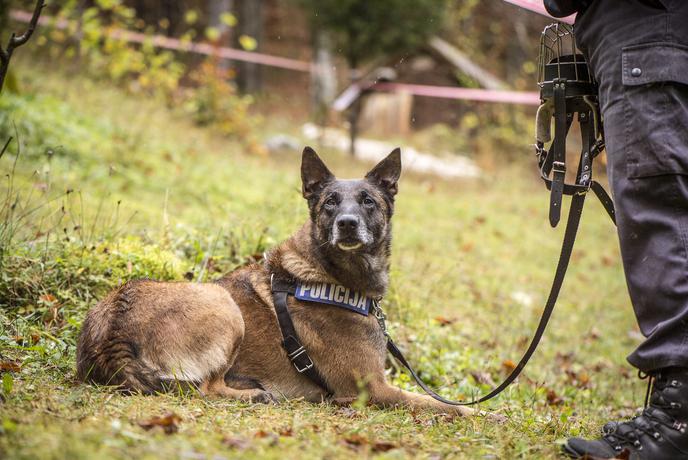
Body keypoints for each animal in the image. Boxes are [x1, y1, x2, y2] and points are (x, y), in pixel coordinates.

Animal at [74, 147, 472, 416]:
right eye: (330, 202)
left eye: (368, 202)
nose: (346, 223)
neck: (329, 274)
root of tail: (111, 327)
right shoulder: (371, 389)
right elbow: (442, 405)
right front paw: (482, 414)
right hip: (224, 306)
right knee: (205, 388)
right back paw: (253, 394)